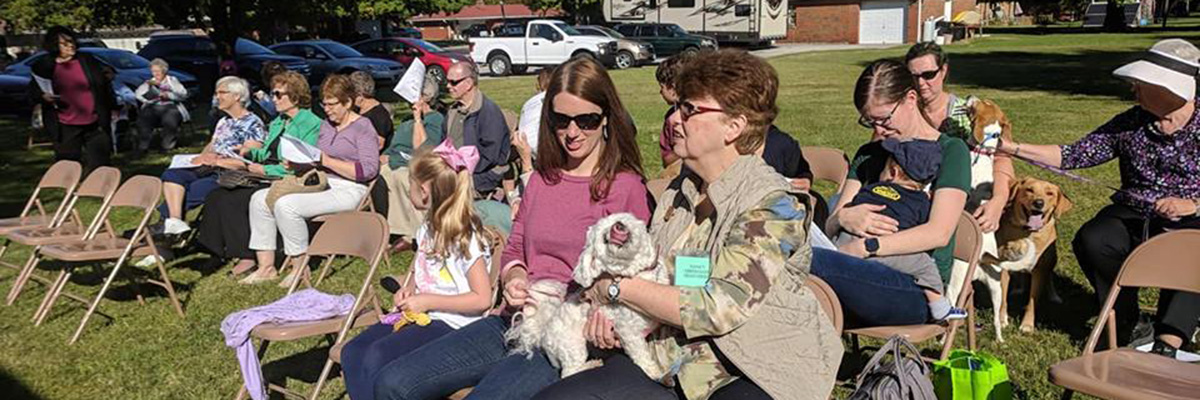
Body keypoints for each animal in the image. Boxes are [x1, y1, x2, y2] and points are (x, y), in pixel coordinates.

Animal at [504, 211, 672, 377]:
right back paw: (591, 364)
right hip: (573, 345)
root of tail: (543, 335)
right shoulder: (627, 330)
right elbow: (640, 353)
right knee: (568, 372)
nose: (617, 226)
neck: (638, 273)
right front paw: (653, 371)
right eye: (604, 238)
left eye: (622, 218)